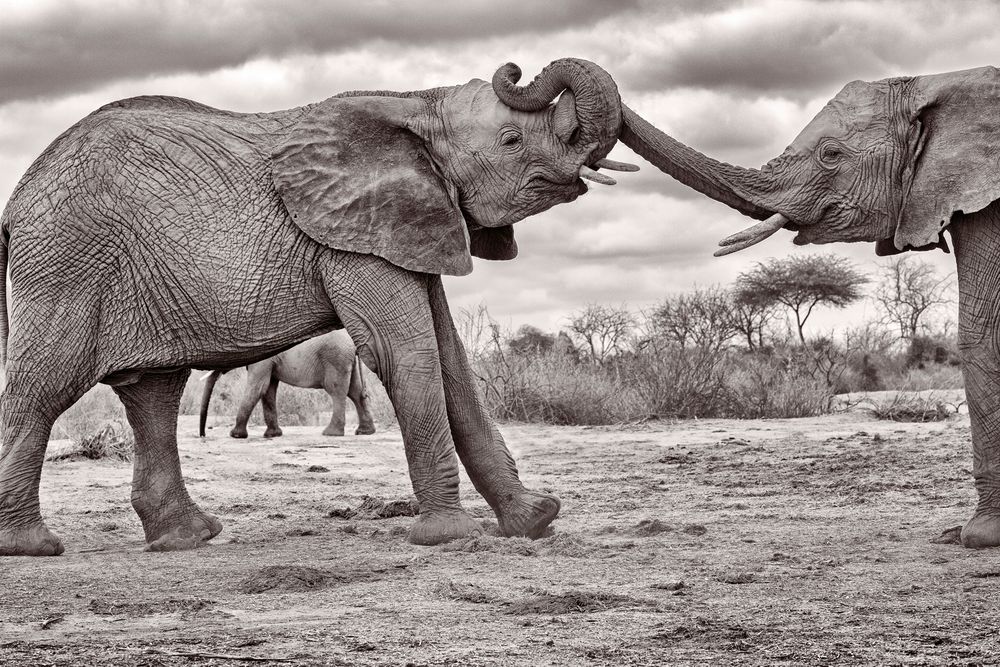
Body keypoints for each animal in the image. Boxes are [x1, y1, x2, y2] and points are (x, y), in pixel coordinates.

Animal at [199, 328, 378, 438]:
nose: (203, 435)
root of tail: (353, 344)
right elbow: (268, 390)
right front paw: (272, 435)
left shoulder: (263, 360)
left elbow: (257, 388)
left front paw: (235, 435)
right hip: (346, 360)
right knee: (355, 392)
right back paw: (365, 432)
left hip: (335, 358)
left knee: (337, 390)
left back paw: (330, 433)